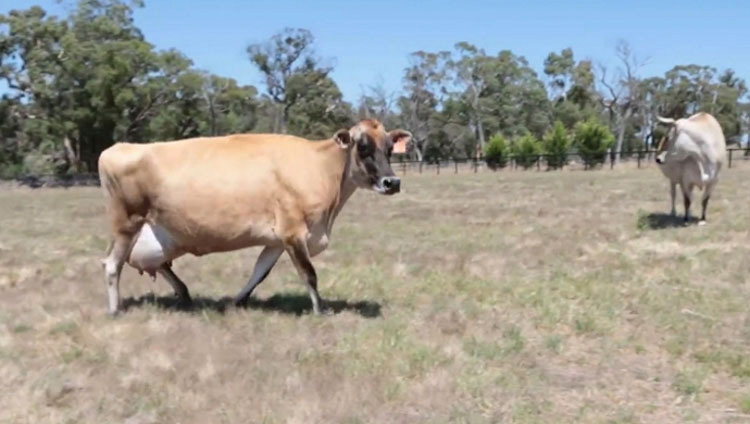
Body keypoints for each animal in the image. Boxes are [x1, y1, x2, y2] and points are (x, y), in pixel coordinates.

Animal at [100, 119, 412, 314]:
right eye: (363, 147)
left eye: (389, 149)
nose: (392, 182)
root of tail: (118, 147)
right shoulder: (293, 232)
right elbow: (309, 274)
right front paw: (320, 311)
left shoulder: (276, 240)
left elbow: (259, 273)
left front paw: (236, 301)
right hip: (126, 224)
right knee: (113, 264)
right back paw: (115, 309)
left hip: (160, 233)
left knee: (159, 264)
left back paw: (185, 294)